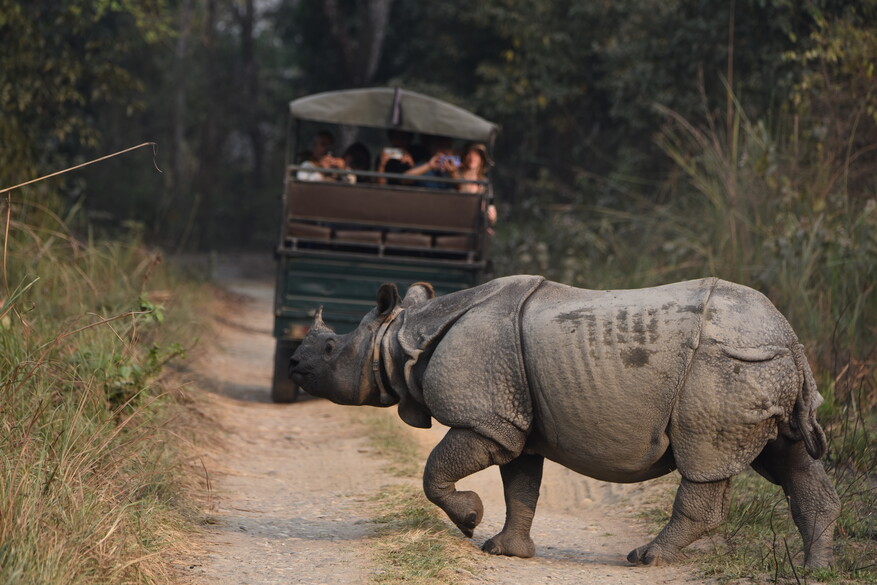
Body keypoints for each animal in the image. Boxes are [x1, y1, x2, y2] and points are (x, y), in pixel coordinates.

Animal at [289, 275, 840, 568]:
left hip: (727, 365)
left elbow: (436, 470)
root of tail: (790, 338)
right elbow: (522, 487)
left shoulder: (487, 419)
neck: (403, 336)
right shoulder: (516, 417)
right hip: (762, 363)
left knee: (704, 460)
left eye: (331, 347)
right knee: (791, 459)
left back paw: (645, 558)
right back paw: (815, 570)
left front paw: (469, 521)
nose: (293, 364)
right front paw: (507, 552)